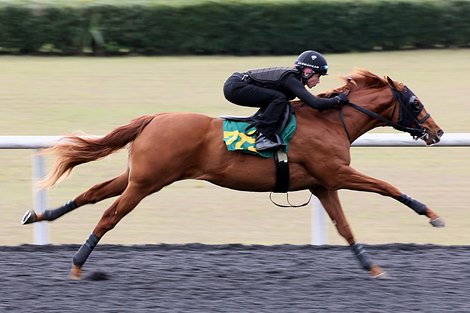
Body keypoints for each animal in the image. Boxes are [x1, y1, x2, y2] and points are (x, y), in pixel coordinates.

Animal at [21, 68, 444, 278]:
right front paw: (431, 214)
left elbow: (345, 228)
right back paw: (78, 263)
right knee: (109, 215)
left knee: (93, 192)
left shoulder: (323, 184)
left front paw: (371, 267)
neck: (330, 122)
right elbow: (385, 186)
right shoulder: (337, 174)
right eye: (415, 103)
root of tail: (154, 119)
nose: (437, 132)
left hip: (138, 176)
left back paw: (40, 214)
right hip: (147, 182)